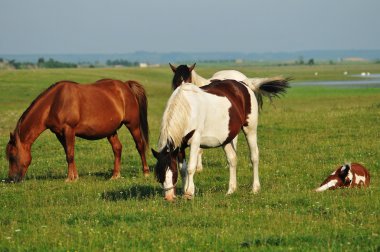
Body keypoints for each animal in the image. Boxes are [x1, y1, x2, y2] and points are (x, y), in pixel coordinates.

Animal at [5, 78, 149, 181]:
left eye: (12, 156)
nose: (12, 179)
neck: (54, 103)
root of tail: (125, 86)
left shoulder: (69, 130)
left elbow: (70, 154)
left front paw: (70, 178)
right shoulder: (59, 134)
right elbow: (68, 154)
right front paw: (75, 176)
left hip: (133, 125)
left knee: (140, 146)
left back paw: (146, 172)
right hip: (111, 131)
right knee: (117, 148)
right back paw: (115, 175)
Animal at [153, 79, 290, 201]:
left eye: (172, 172)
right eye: (159, 174)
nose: (169, 197)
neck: (187, 108)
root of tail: (244, 85)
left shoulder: (195, 141)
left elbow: (191, 168)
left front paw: (189, 193)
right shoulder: (180, 146)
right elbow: (183, 170)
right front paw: (184, 190)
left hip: (250, 129)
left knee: (254, 157)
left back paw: (255, 188)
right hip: (227, 139)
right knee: (232, 159)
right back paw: (231, 190)